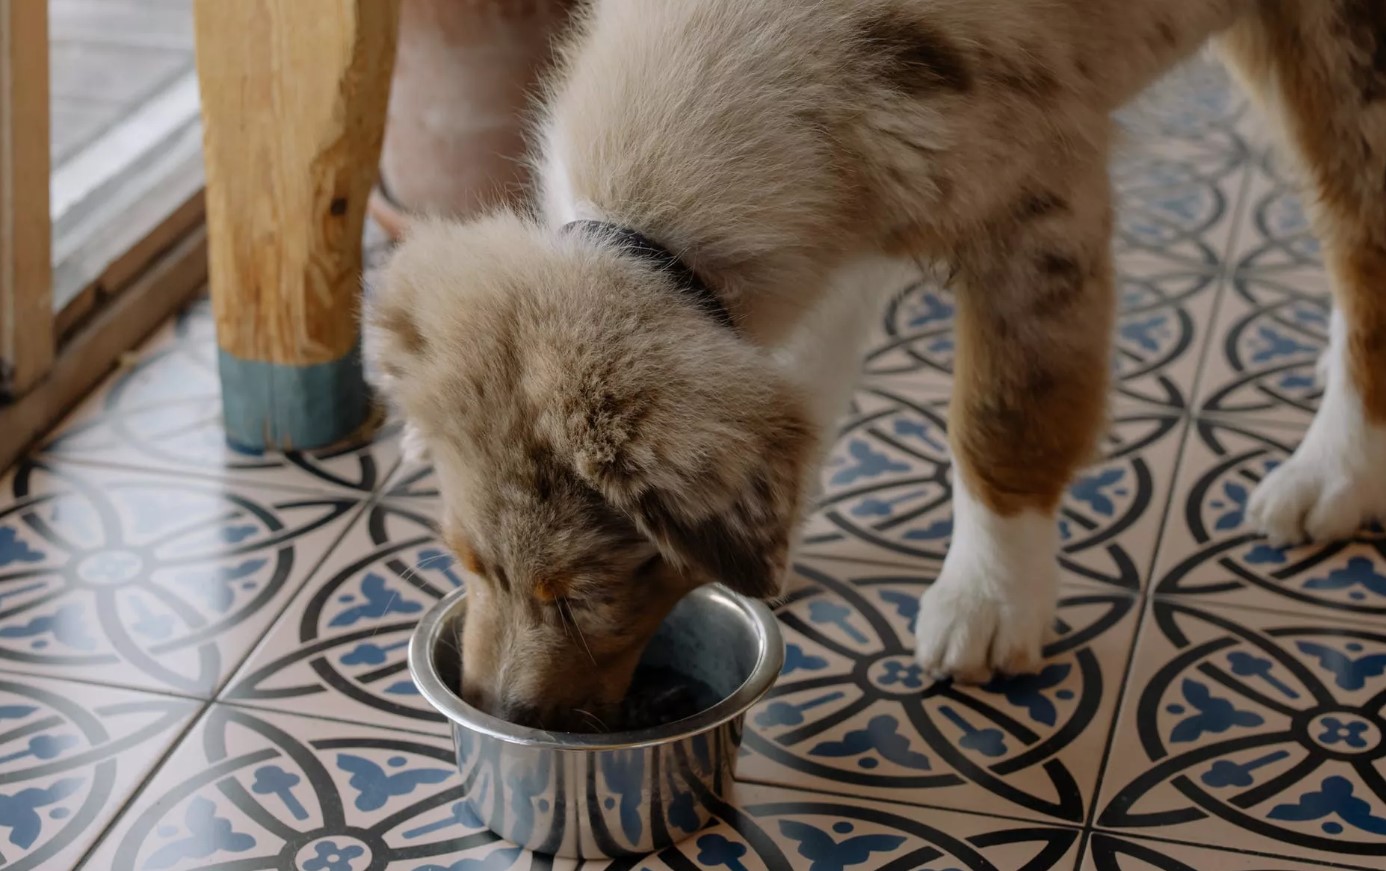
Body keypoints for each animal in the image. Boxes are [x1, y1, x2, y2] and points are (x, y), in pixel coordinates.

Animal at [365, 0, 1386, 732]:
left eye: (577, 597)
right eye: (465, 560)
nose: (498, 712)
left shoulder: (1039, 205)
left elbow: (1002, 418)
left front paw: (989, 599)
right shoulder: (844, 225)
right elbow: (802, 383)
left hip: (1341, 52)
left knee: (1359, 242)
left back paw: (1334, 471)